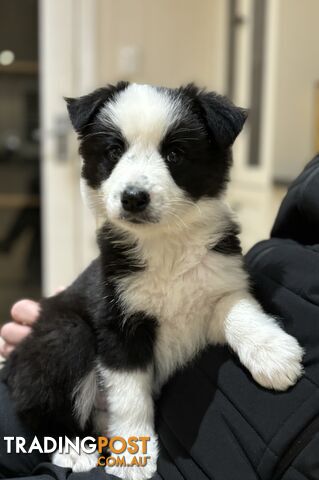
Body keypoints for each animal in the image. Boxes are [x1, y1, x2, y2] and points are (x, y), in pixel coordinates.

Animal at [2, 83, 304, 480]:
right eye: (114, 152)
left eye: (174, 154)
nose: (133, 198)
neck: (165, 244)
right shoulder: (117, 324)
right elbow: (131, 396)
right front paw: (133, 457)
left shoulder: (217, 280)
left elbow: (239, 309)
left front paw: (273, 354)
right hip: (62, 335)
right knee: (41, 408)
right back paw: (73, 450)